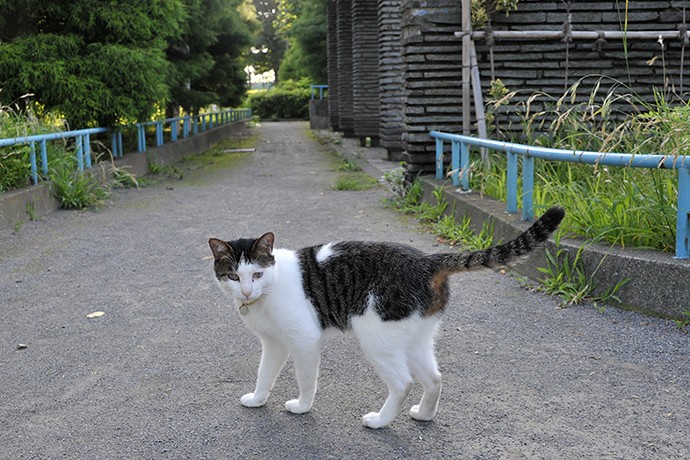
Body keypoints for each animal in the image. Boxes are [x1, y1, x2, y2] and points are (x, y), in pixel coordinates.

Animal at [210, 207, 564, 430]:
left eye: (256, 274)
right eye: (232, 276)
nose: (245, 291)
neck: (268, 290)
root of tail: (428, 261)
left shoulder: (304, 341)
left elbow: (306, 380)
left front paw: (302, 406)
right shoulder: (274, 344)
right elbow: (264, 374)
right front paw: (258, 400)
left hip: (377, 340)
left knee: (404, 383)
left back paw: (380, 422)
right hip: (413, 338)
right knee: (434, 378)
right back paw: (424, 414)